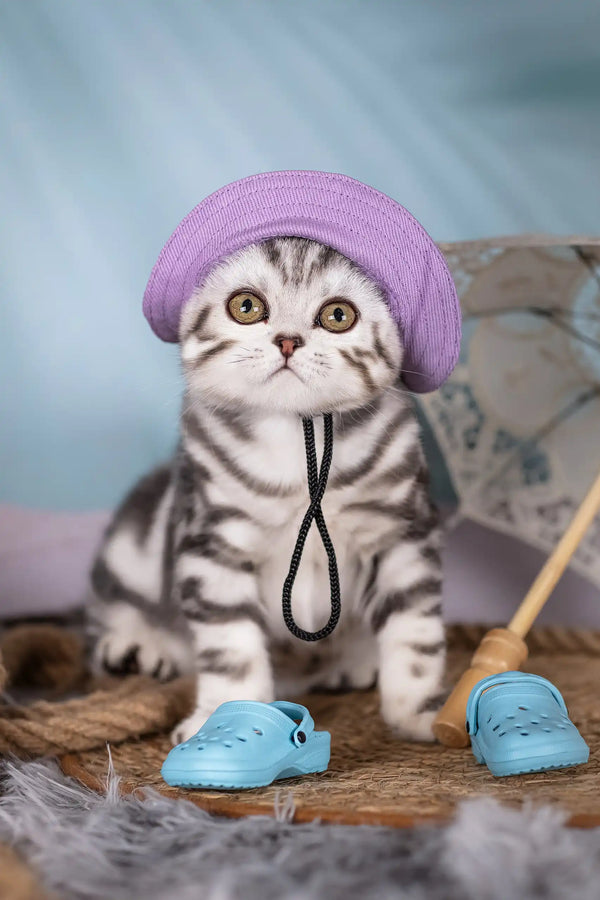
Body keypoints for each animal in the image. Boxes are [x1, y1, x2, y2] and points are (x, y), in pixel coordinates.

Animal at [88, 236, 446, 740]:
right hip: (129, 550)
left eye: (338, 315)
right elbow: (230, 648)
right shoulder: (213, 540)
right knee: (115, 607)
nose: (288, 341)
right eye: (246, 306)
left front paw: (422, 712)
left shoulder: (403, 532)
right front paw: (223, 720)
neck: (298, 440)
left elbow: (415, 635)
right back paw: (135, 647)